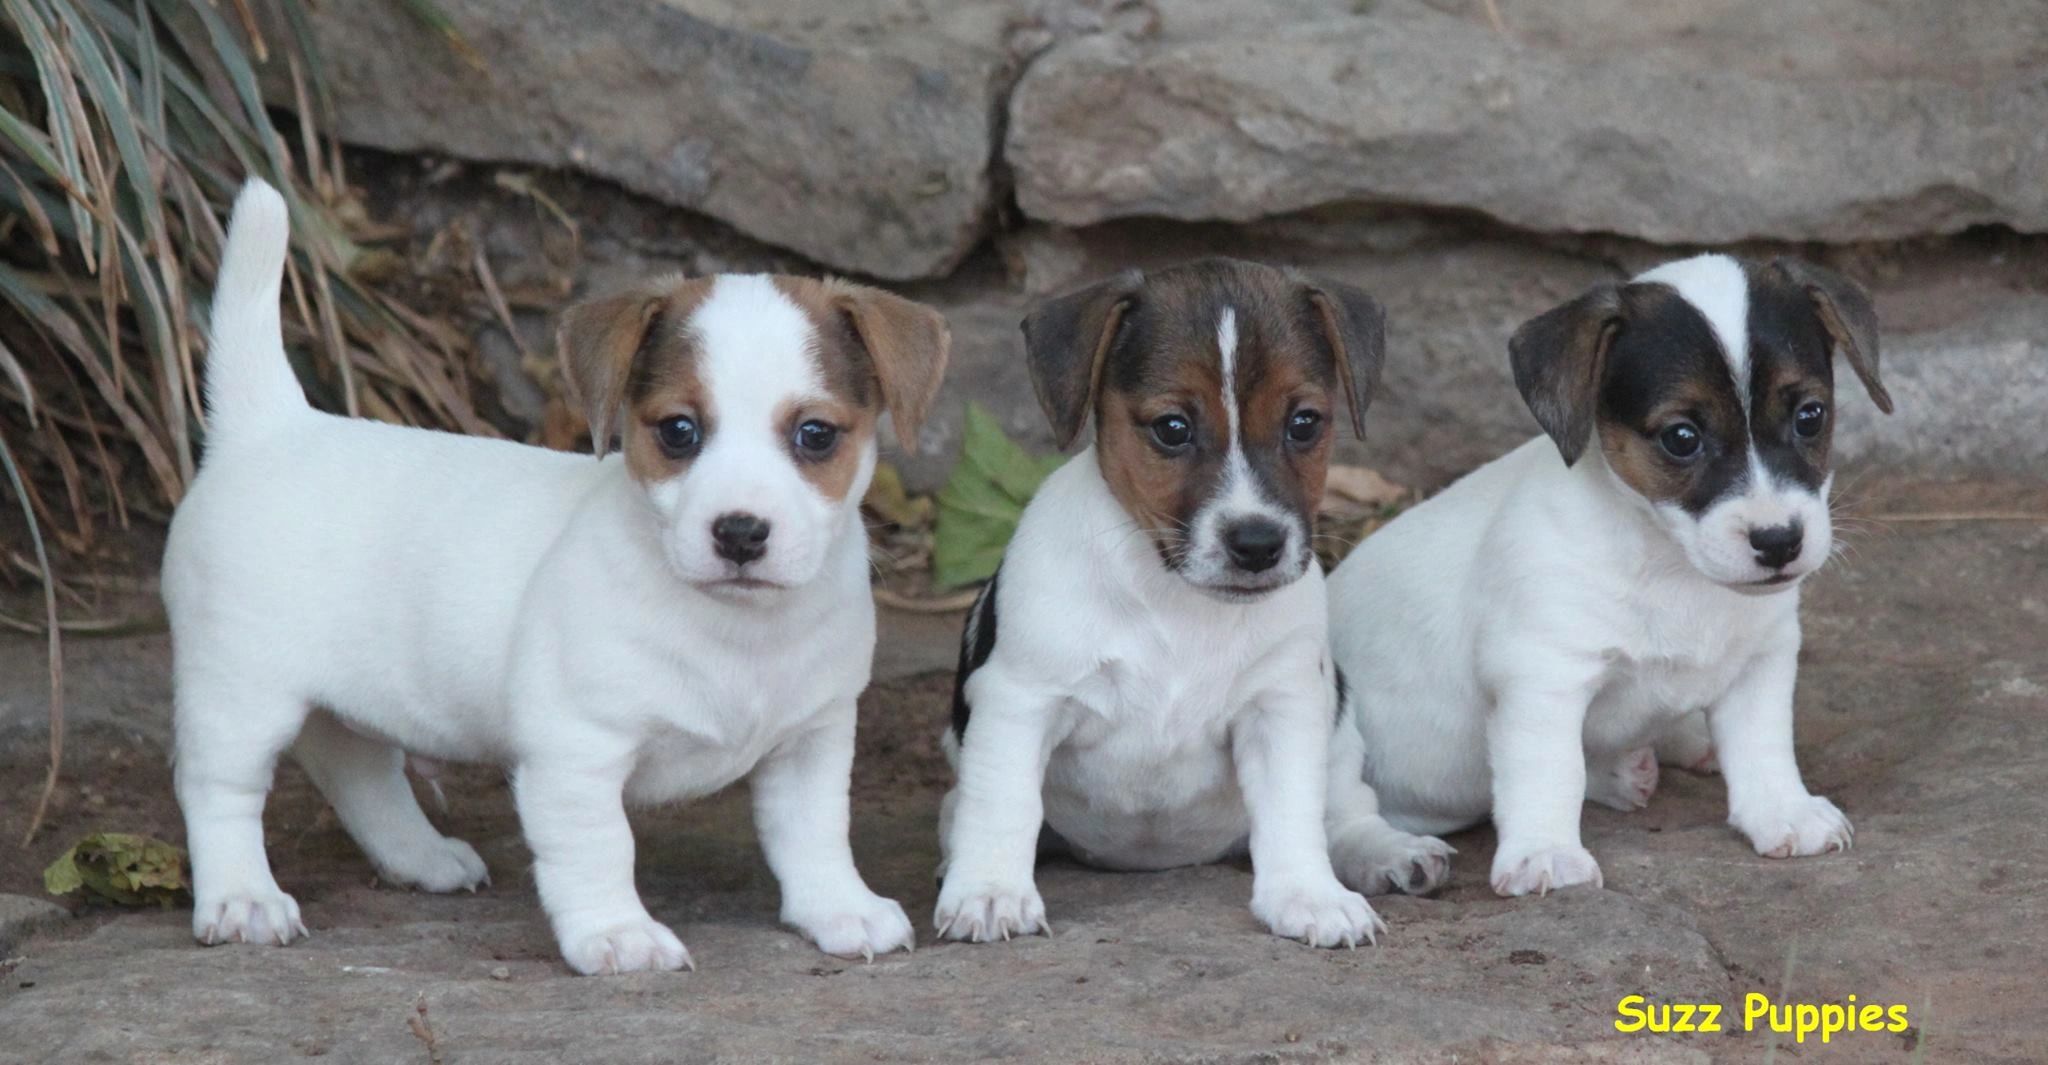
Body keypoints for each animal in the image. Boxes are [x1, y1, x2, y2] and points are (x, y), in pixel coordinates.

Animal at [167, 181, 950, 974]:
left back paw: (419, 857)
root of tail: (270, 427)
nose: (739, 532)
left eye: (815, 435)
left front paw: (840, 908)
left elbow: (816, 834)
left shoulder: (811, 742)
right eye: (679, 431)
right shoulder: (577, 751)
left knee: (355, 768)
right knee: (219, 788)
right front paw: (619, 931)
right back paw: (243, 897)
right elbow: (600, 849)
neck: (733, 626)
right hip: (241, 691)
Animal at [937, 258, 1458, 950]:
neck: (1174, 595)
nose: (1258, 543)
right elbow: (1004, 804)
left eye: (1305, 423)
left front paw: (1309, 896)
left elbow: (1293, 813)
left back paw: (1388, 852)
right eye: (1172, 429)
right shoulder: (1022, 700)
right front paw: (991, 892)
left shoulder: (1283, 708)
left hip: (1339, 720)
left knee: (1344, 810)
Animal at [1327, 253, 1884, 892]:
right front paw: (1545, 853)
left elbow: (1763, 744)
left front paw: (1783, 811)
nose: (1779, 541)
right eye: (1681, 437)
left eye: (1810, 416)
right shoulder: (1543, 677)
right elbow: (1551, 768)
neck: (1669, 562)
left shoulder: (1760, 658)